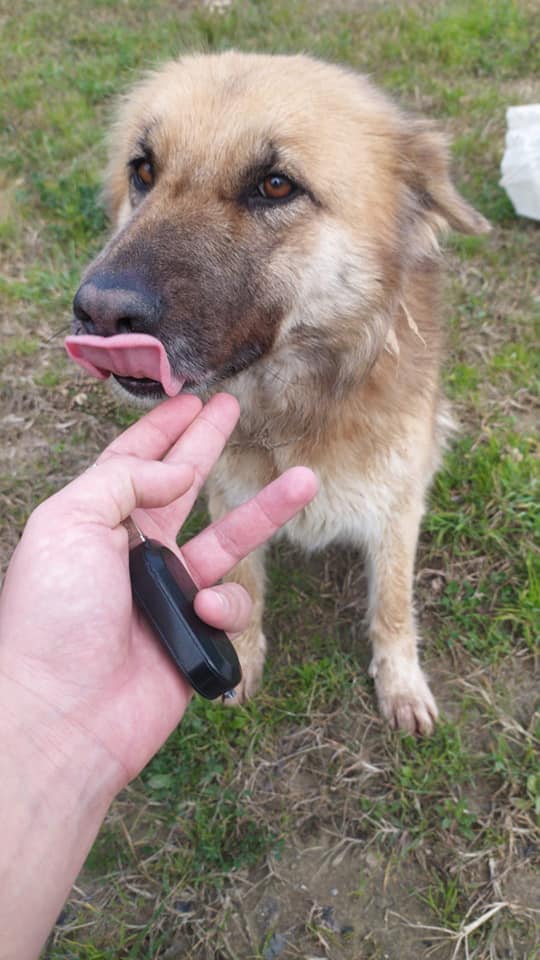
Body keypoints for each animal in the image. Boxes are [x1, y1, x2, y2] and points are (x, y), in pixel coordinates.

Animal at [70, 52, 490, 736]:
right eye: (144, 171)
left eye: (275, 185)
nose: (99, 312)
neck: (298, 405)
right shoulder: (231, 490)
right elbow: (243, 578)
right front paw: (240, 659)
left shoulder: (397, 508)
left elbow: (393, 602)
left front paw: (400, 682)